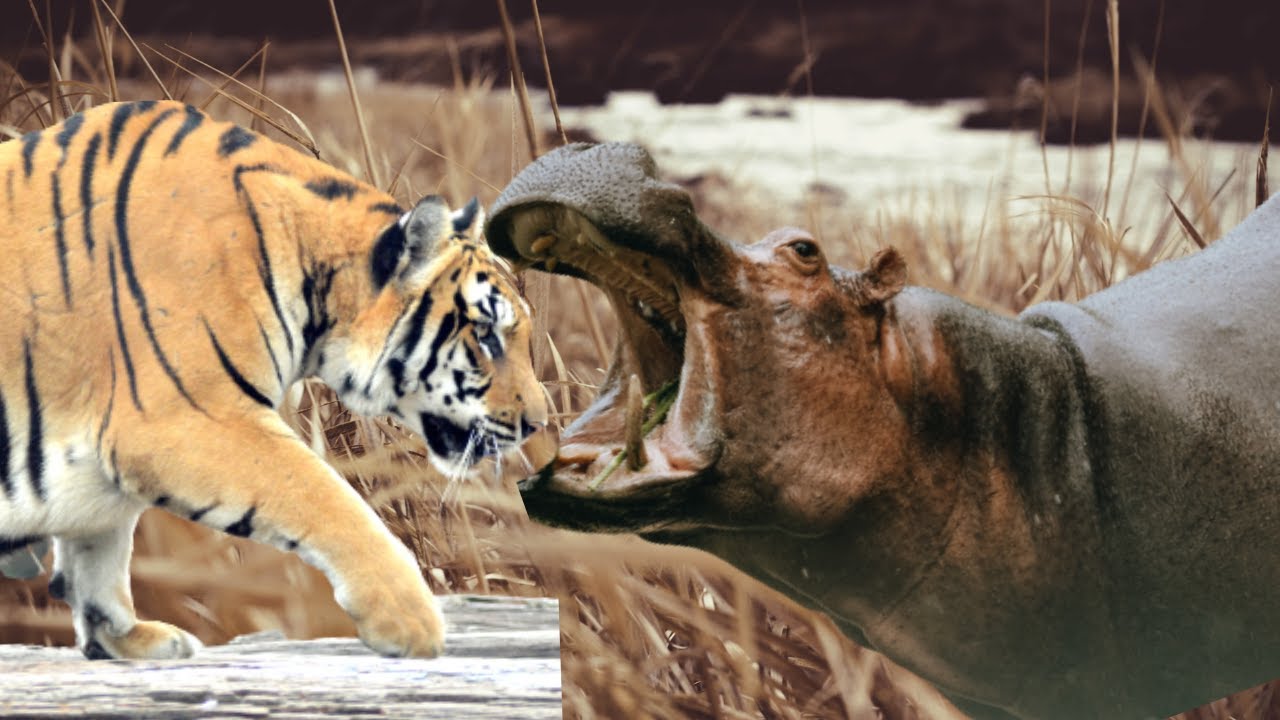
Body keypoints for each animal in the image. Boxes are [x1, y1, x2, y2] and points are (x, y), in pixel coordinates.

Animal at [0, 100, 547, 660]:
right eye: (486, 335)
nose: (537, 423)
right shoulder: (185, 419)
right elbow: (324, 495)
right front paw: (410, 619)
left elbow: (98, 546)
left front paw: (123, 637)